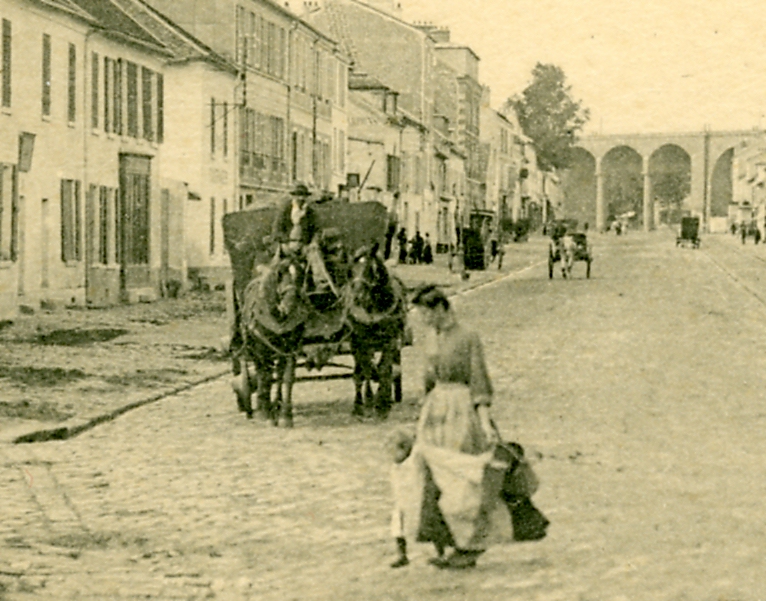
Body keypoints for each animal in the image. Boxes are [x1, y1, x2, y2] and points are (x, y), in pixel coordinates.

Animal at [346, 243, 408, 418]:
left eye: (370, 268)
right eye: (350, 270)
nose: (357, 296)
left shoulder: (391, 341)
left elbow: (384, 369)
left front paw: (382, 403)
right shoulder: (359, 342)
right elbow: (365, 370)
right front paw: (366, 402)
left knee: (389, 369)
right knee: (360, 371)